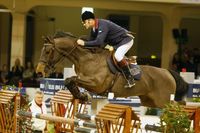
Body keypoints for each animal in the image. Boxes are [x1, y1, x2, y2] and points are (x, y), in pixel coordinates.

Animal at [36, 31, 189, 108]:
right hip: (150, 101)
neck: (86, 59)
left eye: (48, 51)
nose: (39, 72)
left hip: (163, 100)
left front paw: (82, 96)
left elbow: (70, 79)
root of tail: (168, 72)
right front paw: (82, 96)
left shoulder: (97, 84)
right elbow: (69, 81)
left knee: (179, 105)